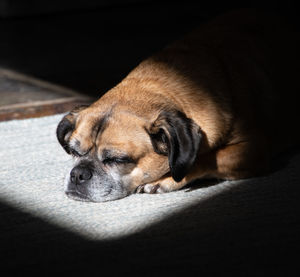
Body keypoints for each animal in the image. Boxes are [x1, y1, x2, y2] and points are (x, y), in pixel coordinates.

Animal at [56, 10, 300, 201]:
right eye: (74, 151)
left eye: (117, 160)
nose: (77, 174)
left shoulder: (252, 149)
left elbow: (208, 158)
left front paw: (165, 180)